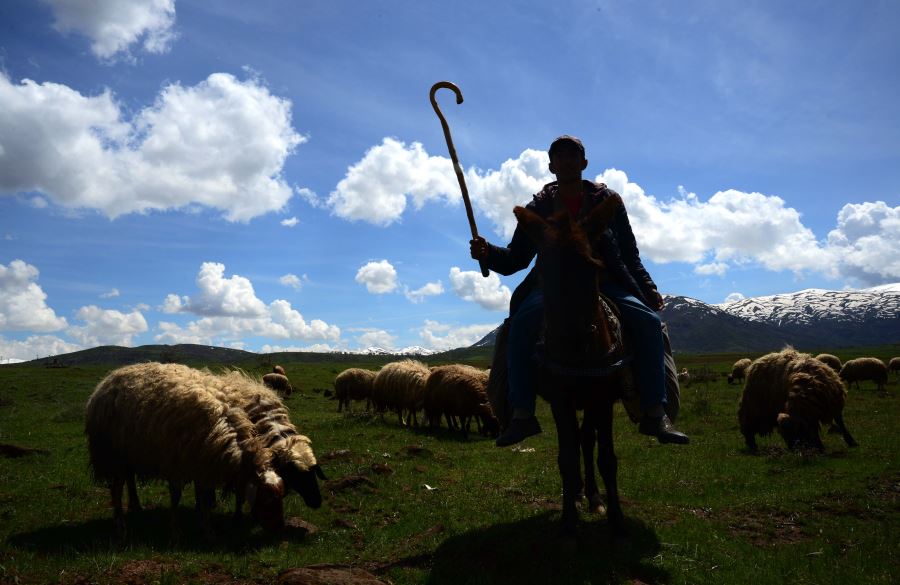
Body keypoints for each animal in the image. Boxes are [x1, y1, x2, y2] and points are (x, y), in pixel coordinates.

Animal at [84, 362, 284, 536]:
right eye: (267, 499)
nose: (279, 530)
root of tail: (107, 379)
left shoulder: (201, 463)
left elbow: (203, 496)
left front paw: (205, 526)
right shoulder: (175, 462)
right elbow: (177, 496)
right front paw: (176, 529)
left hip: (129, 455)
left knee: (129, 479)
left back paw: (136, 507)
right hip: (112, 455)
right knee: (116, 489)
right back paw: (120, 526)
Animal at [512, 194, 624, 540]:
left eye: (593, 267)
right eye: (543, 271)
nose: (573, 342)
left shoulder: (602, 398)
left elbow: (606, 457)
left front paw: (616, 518)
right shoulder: (561, 401)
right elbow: (566, 458)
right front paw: (568, 521)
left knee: (586, 440)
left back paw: (593, 497)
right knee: (575, 442)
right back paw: (576, 494)